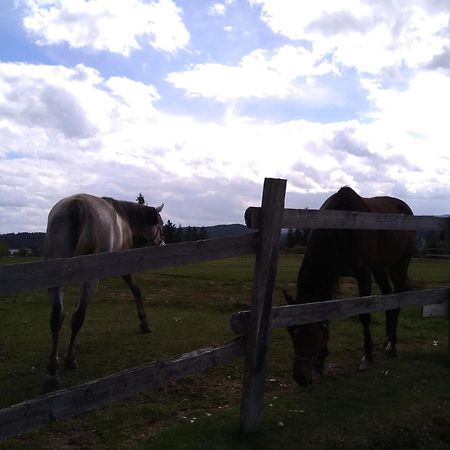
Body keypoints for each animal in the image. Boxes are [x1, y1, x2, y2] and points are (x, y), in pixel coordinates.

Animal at [44, 193, 165, 384]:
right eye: (160, 224)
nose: (162, 243)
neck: (125, 220)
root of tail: (76, 204)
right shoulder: (124, 268)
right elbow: (136, 290)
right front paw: (144, 323)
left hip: (56, 277)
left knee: (57, 317)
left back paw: (53, 368)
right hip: (90, 281)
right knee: (77, 317)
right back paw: (70, 360)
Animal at [284, 186, 414, 386]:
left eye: (312, 336)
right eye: (292, 332)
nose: (300, 378)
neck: (342, 229)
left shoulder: (364, 275)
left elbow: (364, 316)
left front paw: (367, 357)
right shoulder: (331, 274)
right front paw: (320, 365)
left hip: (399, 263)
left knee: (399, 296)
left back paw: (392, 345)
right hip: (380, 267)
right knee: (388, 295)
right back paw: (386, 339)